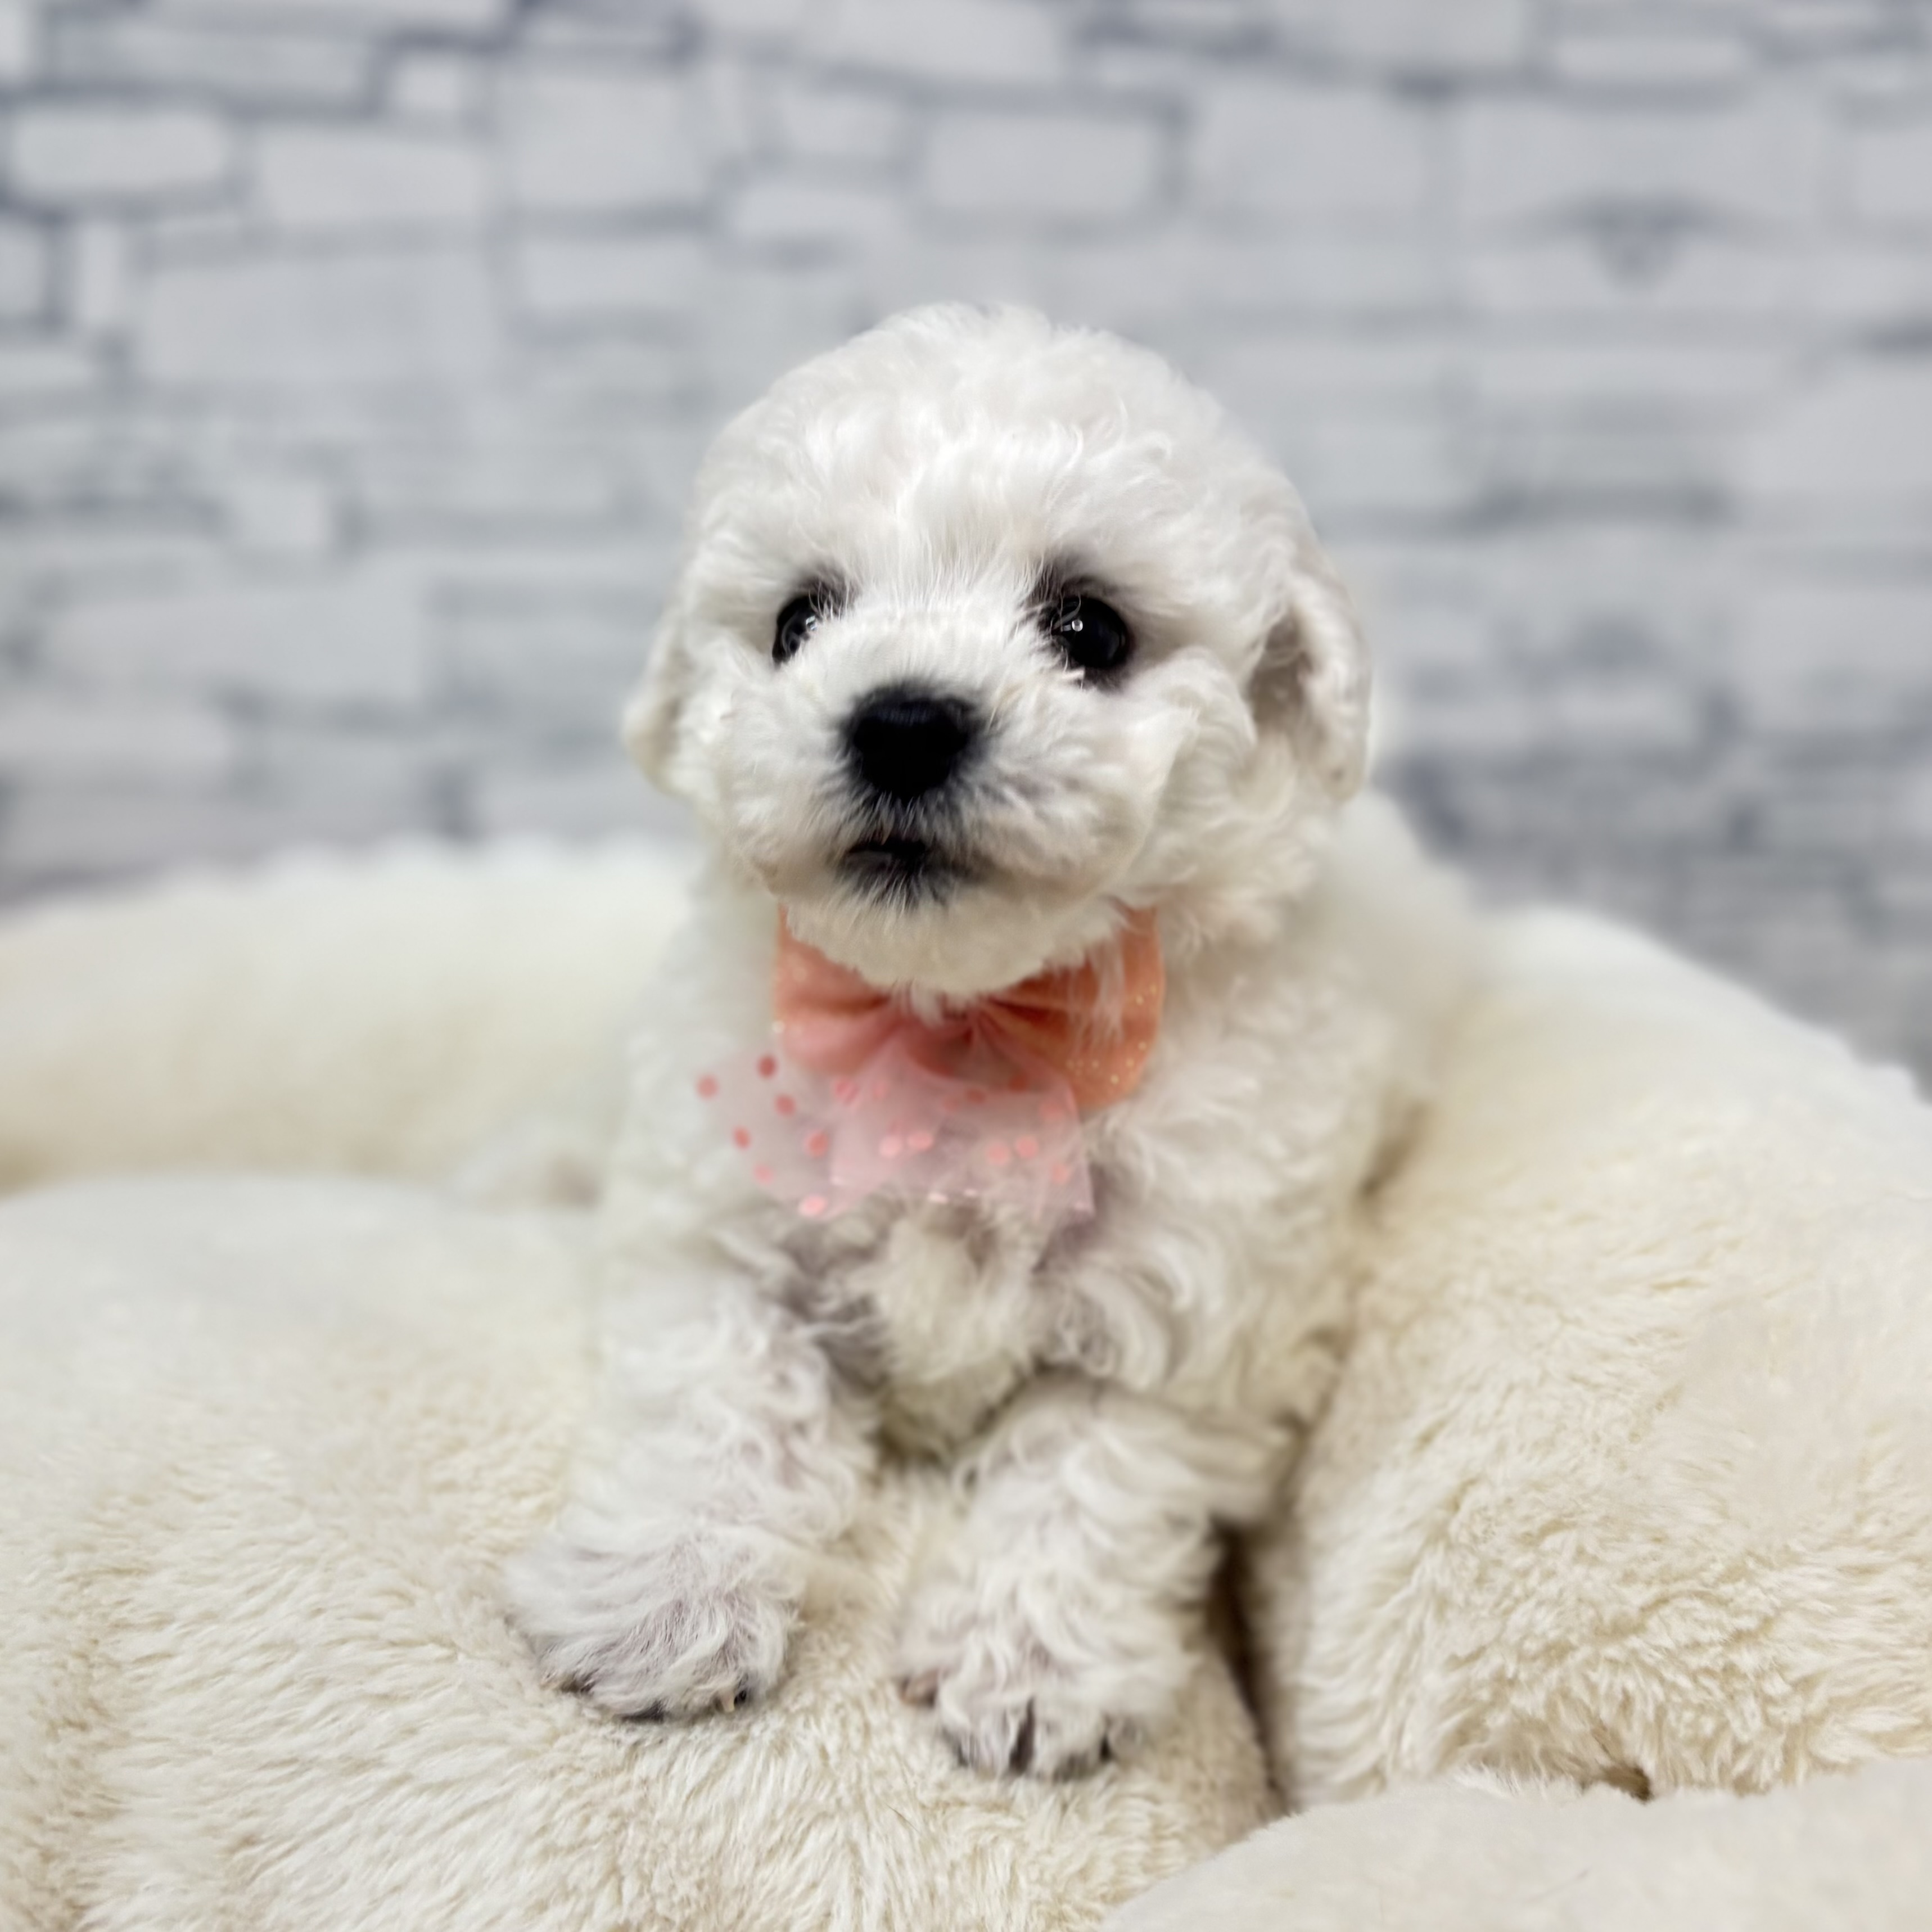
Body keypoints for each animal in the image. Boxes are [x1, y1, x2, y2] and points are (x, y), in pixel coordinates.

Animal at [508, 305, 1470, 1777]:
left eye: (1089, 626)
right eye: (797, 620)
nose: (902, 719)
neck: (958, 1023)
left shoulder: (1199, 1307)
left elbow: (1088, 1459)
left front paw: (1027, 1667)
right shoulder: (720, 1230)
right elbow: (717, 1394)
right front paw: (660, 1598)